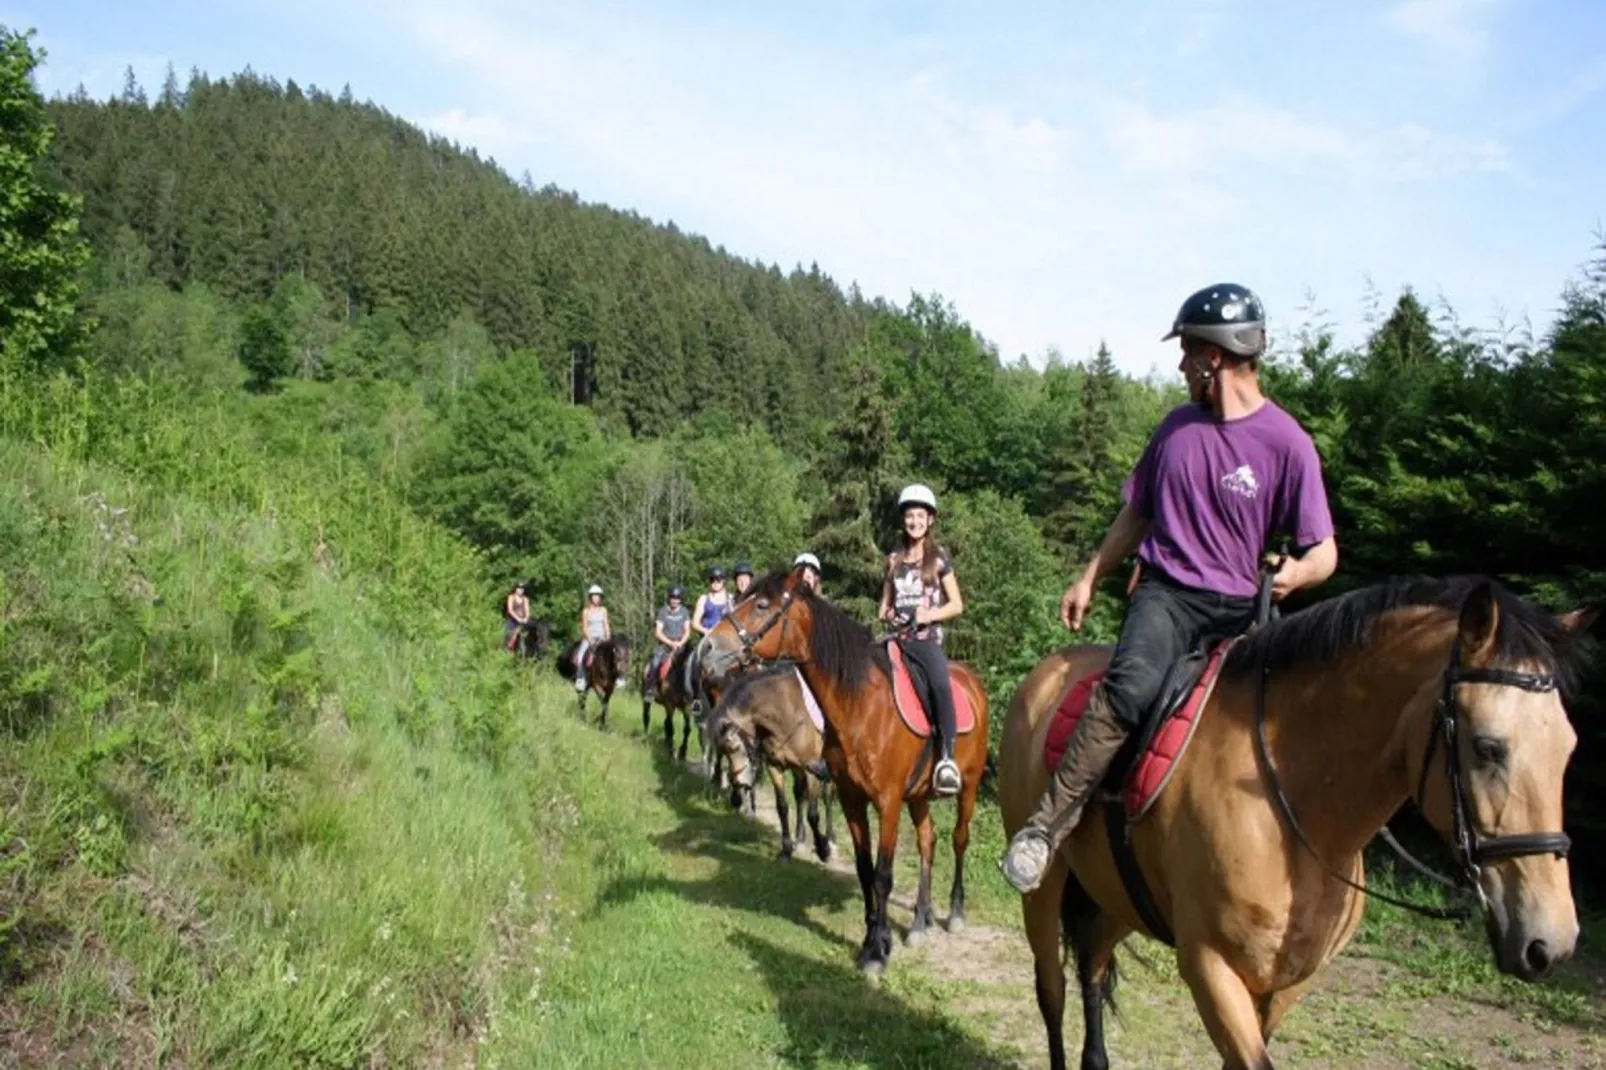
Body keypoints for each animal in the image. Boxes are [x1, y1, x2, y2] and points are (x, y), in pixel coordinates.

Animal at [713, 661, 841, 861]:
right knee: (799, 793)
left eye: (735, 748)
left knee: (828, 795)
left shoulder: (812, 771)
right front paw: (786, 850)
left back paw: (831, 838)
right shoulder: (776, 767)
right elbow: (782, 807)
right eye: (724, 752)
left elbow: (813, 814)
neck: (788, 714)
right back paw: (800, 837)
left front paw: (823, 849)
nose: (738, 785)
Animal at [1002, 575, 1593, 1066]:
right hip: (1046, 891)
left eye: (1569, 749)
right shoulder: (1210, 968)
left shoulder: (1285, 986)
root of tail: (1049, 672)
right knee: (1052, 989)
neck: (1297, 816)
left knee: (1094, 965)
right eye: (1488, 747)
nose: (1551, 943)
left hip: (1117, 895)